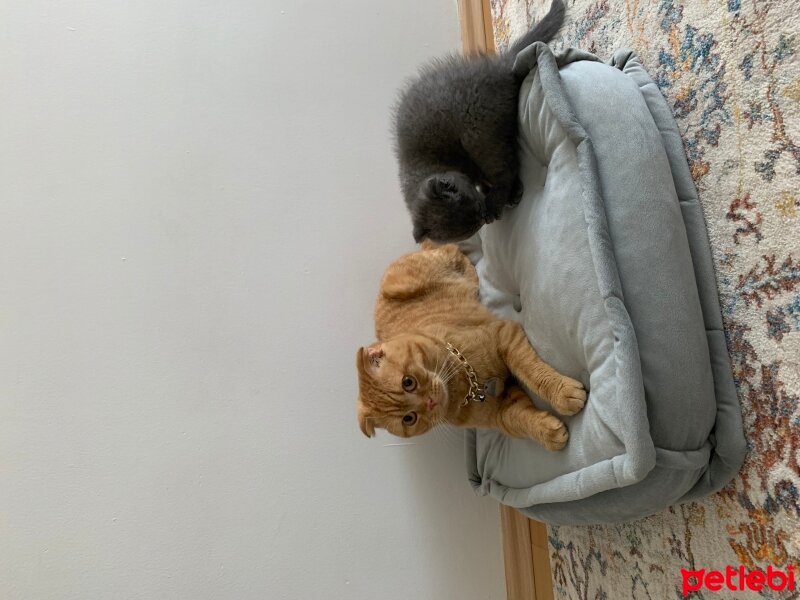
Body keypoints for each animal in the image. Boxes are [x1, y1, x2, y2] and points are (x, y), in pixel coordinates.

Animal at [356, 241, 588, 448]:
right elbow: (521, 421)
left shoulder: (504, 336)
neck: (467, 385)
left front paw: (561, 392)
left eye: (408, 382)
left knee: (447, 248)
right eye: (409, 418)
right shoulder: (501, 411)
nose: (429, 403)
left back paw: (470, 275)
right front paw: (548, 433)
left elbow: (533, 372)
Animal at [392, 1, 564, 244]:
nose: (485, 216)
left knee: (504, 168)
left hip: (477, 131)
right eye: (472, 226)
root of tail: (500, 66)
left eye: (476, 209)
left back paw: (503, 197)